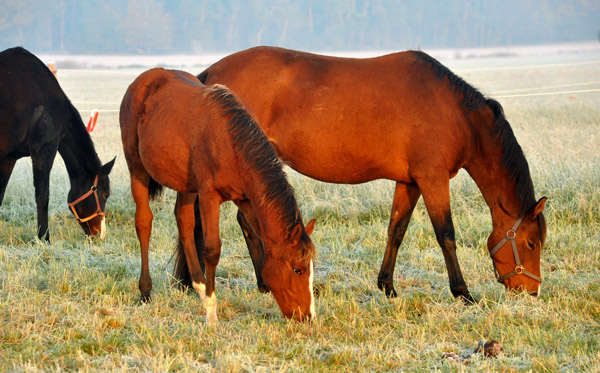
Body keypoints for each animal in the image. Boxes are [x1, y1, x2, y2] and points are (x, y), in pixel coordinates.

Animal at [0, 46, 115, 240]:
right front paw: (44, 238)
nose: (101, 235)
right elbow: (42, 195)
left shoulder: (9, 158)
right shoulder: (44, 149)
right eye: (105, 193)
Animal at [120, 68, 318, 324]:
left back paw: (199, 286)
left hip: (186, 184)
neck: (231, 142)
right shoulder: (209, 196)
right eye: (297, 269)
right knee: (144, 222)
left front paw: (208, 298)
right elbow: (213, 249)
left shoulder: (247, 200)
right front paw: (212, 313)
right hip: (137, 169)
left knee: (184, 222)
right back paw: (146, 291)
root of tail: (145, 79)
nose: (307, 316)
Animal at [193, 47, 548, 302]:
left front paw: (387, 286)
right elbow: (446, 235)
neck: (455, 113)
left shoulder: (410, 181)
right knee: (247, 223)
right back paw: (264, 283)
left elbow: (396, 230)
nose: (532, 292)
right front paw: (462, 292)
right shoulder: (433, 179)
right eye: (531, 243)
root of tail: (211, 75)